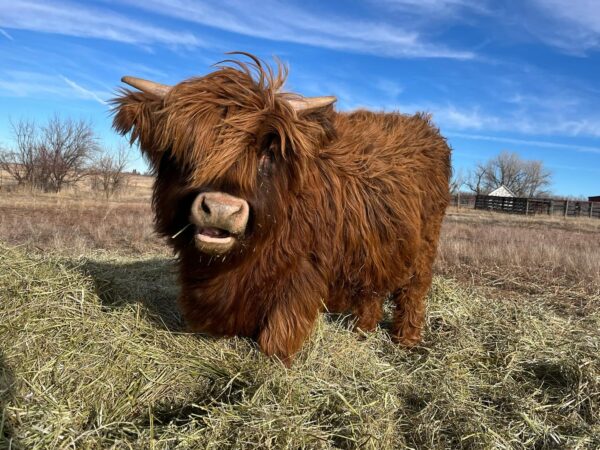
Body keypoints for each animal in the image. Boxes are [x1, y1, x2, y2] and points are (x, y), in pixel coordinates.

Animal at [113, 53, 450, 366]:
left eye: (268, 152)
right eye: (185, 145)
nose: (222, 209)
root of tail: (425, 127)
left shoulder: (301, 273)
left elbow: (278, 335)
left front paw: (276, 362)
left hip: (424, 246)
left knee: (413, 291)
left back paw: (406, 340)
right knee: (373, 289)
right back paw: (361, 330)